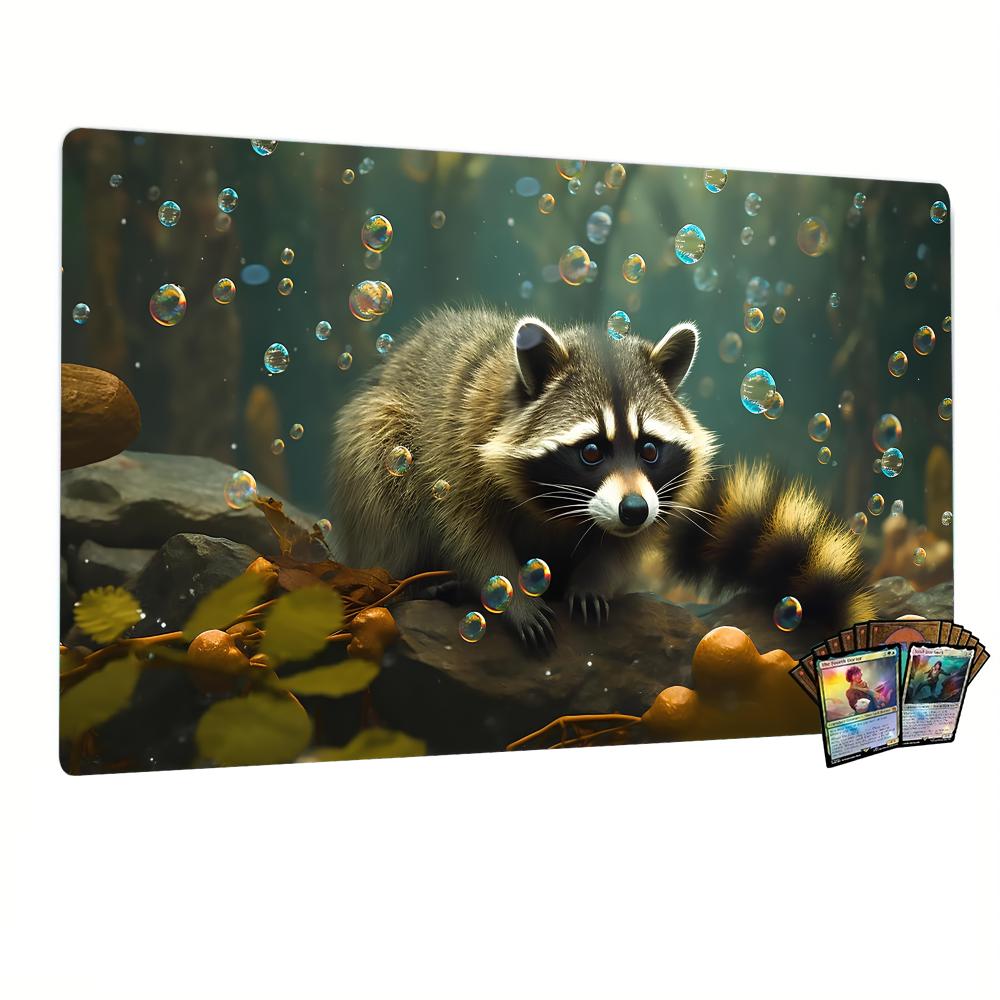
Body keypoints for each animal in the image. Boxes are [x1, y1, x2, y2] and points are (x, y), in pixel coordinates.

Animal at [331, 306, 874, 647]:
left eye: (650, 450)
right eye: (591, 451)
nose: (633, 510)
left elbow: (625, 546)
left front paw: (593, 579)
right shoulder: (457, 451)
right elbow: (466, 533)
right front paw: (509, 595)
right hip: (382, 437)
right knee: (381, 471)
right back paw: (412, 582)